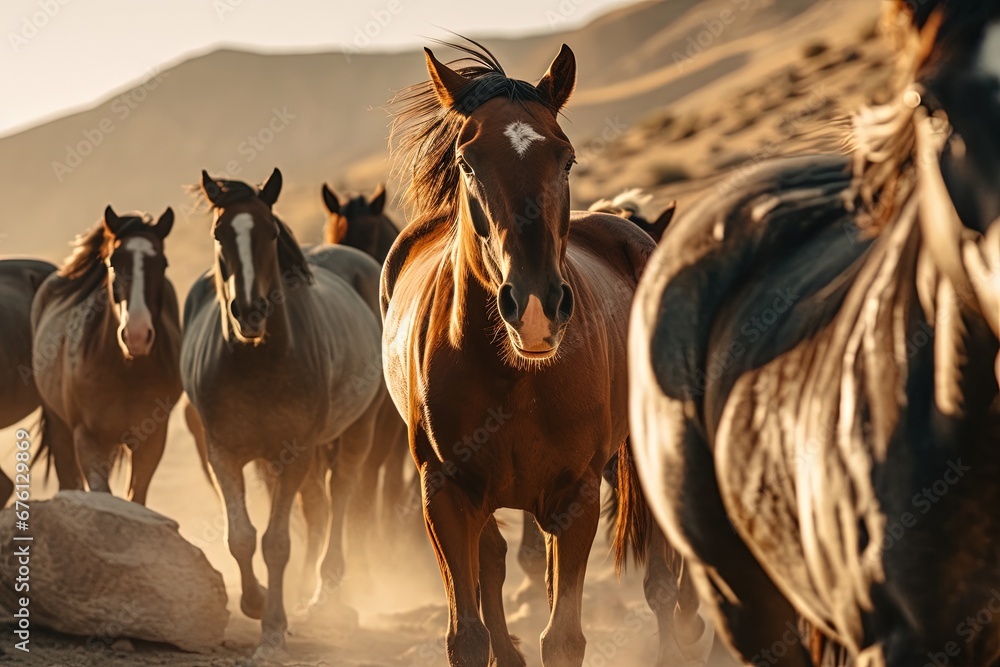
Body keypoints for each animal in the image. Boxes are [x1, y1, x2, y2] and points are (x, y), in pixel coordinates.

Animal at [30, 206, 184, 504]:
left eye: (163, 264)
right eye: (113, 263)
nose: (136, 335)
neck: (125, 371)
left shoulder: (152, 438)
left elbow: (136, 496)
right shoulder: (87, 437)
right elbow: (100, 491)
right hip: (60, 426)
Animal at [186, 168, 388, 656]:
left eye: (271, 232)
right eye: (219, 234)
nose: (250, 312)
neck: (258, 360)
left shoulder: (294, 452)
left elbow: (276, 542)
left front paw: (274, 630)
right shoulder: (224, 454)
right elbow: (241, 537)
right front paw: (257, 601)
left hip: (357, 431)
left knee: (340, 496)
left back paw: (326, 592)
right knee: (315, 507)